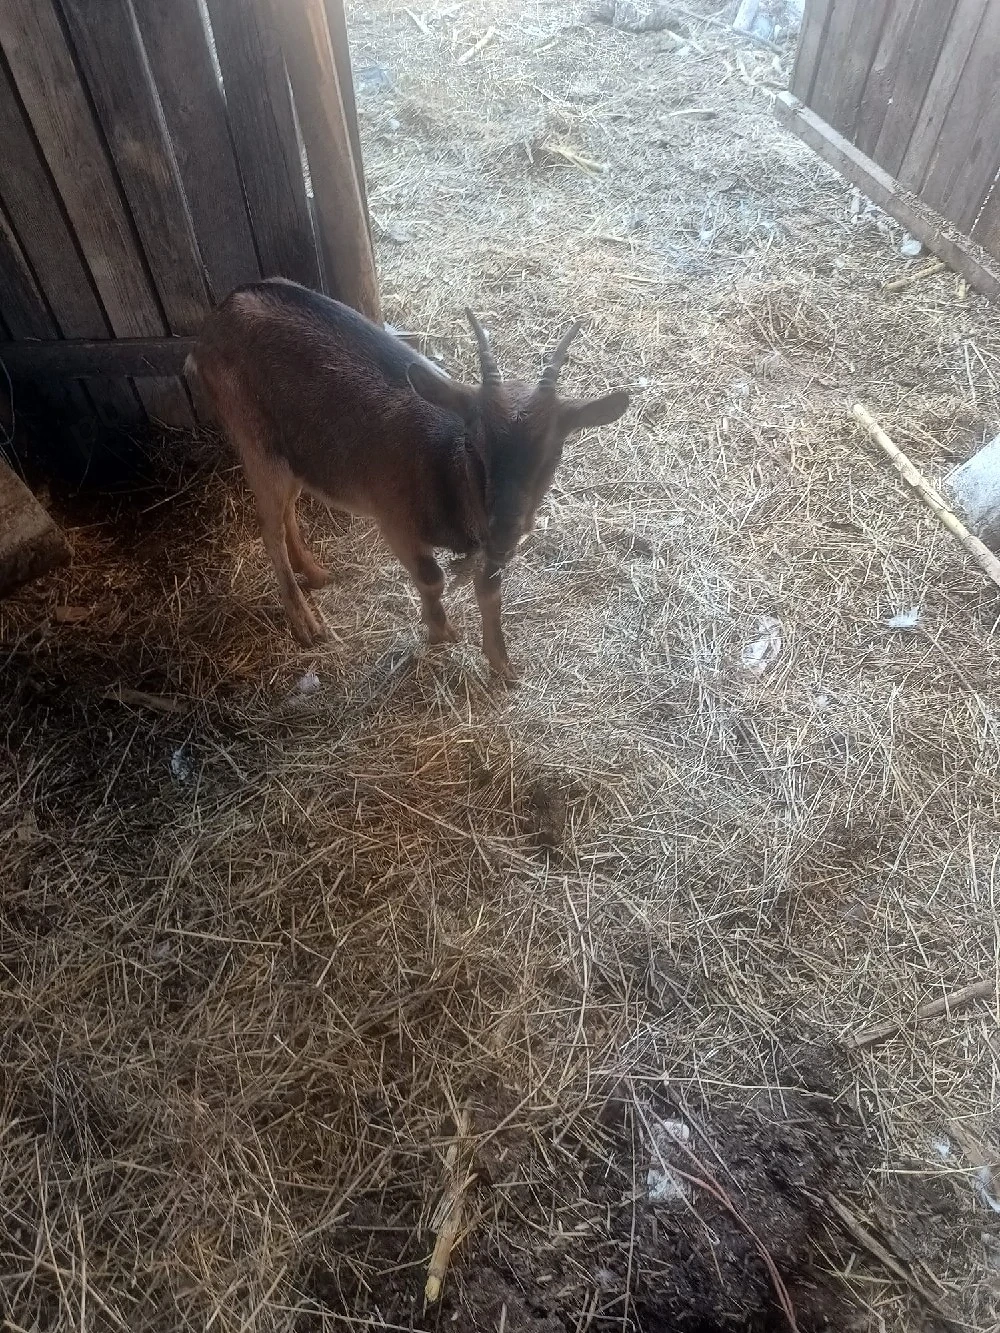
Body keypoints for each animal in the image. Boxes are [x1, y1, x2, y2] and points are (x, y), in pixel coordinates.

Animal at [188, 278, 629, 680]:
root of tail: (219, 314)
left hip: (295, 455)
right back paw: (306, 623)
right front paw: (441, 632)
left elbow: (489, 588)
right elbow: (432, 578)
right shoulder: (396, 520)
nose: (506, 529)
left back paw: (315, 573)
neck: (443, 469)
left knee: (287, 511)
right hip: (255, 442)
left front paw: (502, 665)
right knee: (269, 527)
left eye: (553, 453)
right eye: (471, 444)